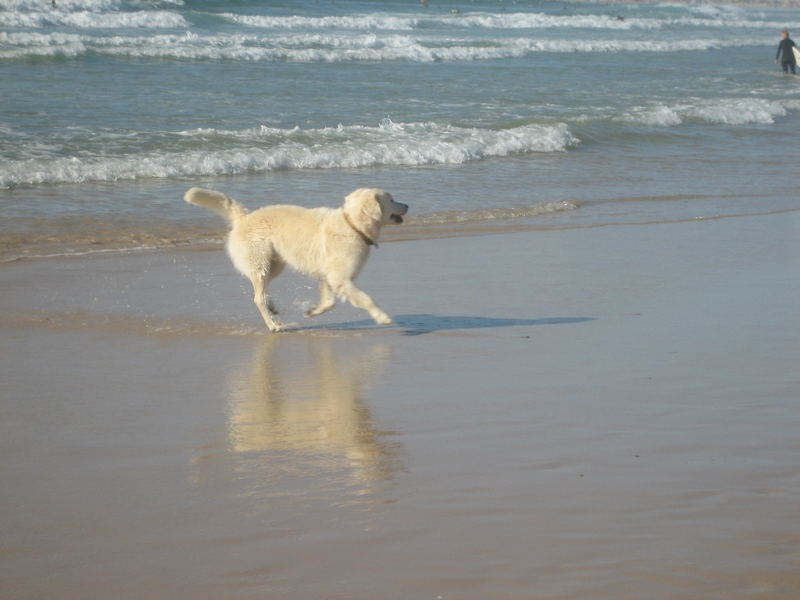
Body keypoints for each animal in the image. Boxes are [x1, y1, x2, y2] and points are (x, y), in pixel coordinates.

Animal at [181, 186, 406, 332]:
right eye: (392, 199)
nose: (407, 205)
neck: (352, 224)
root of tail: (244, 217)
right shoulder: (340, 279)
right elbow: (366, 299)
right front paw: (382, 316)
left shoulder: (328, 276)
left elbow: (330, 302)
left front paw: (313, 311)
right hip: (262, 262)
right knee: (258, 298)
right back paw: (274, 325)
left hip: (275, 264)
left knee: (263, 291)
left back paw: (274, 310)